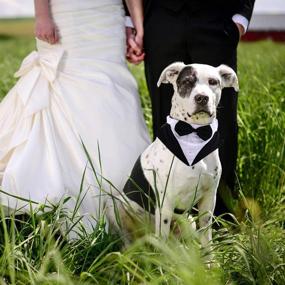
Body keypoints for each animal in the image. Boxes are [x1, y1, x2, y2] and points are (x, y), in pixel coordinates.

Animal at [105, 63, 236, 250]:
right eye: (187, 81)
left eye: (213, 82)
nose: (202, 98)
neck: (193, 134)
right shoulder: (165, 204)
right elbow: (163, 242)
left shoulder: (208, 200)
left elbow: (207, 239)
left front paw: (209, 258)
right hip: (114, 205)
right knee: (128, 239)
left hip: (189, 222)